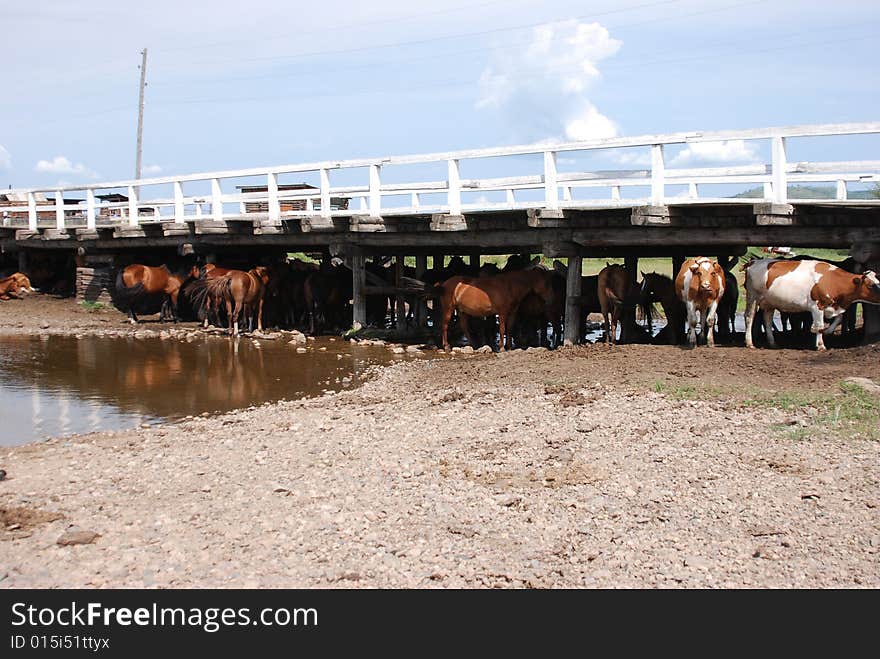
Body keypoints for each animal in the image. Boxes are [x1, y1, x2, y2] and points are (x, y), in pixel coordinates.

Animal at [744, 258, 880, 350]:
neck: (832, 280)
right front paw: (820, 345)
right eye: (871, 285)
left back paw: (773, 343)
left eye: (878, 281)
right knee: (749, 317)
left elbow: (839, 319)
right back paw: (750, 343)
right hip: (752, 297)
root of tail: (754, 262)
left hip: (769, 302)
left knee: (767, 320)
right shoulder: (817, 306)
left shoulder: (832, 305)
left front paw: (827, 331)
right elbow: (819, 325)